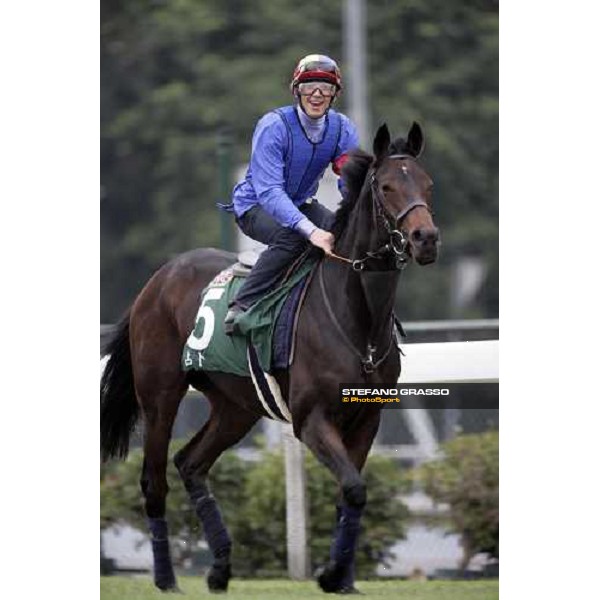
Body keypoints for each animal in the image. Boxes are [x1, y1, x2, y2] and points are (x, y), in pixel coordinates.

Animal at [102, 123, 440, 596]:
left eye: (427, 184)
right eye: (387, 186)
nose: (425, 239)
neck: (357, 320)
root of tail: (154, 282)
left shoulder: (367, 419)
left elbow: (349, 494)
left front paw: (343, 578)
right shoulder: (310, 419)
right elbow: (353, 488)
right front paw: (331, 574)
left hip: (236, 407)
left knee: (191, 463)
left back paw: (220, 568)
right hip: (160, 397)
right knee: (155, 481)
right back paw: (167, 579)